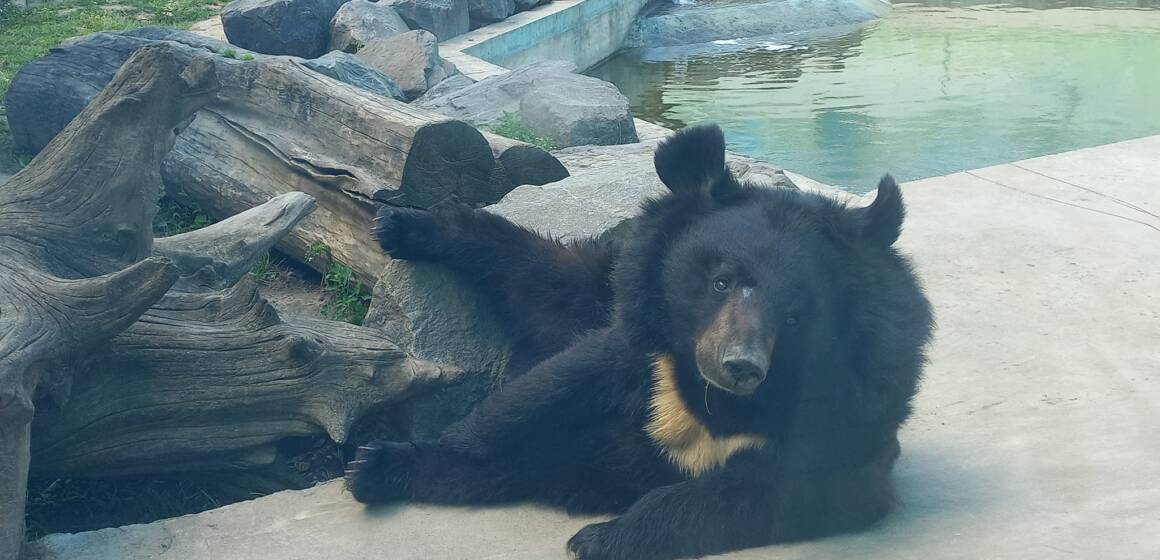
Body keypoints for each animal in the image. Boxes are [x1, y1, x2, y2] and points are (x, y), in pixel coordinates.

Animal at [343, 125, 932, 558]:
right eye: (721, 280)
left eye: (795, 314)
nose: (739, 365)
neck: (704, 391)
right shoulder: (641, 341)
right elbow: (540, 395)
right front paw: (384, 462)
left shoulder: (852, 405)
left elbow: (777, 491)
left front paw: (601, 539)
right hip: (609, 282)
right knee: (545, 276)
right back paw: (405, 227)